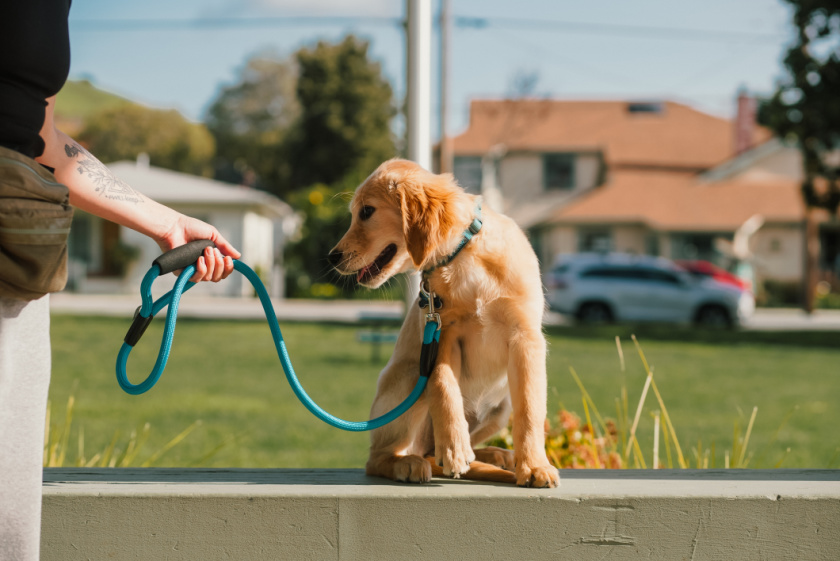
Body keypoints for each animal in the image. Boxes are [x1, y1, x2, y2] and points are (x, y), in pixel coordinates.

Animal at [332, 158, 560, 486]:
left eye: (366, 212)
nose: (332, 257)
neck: (463, 257)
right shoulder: (444, 334)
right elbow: (442, 385)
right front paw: (453, 448)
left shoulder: (525, 337)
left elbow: (530, 409)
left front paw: (534, 465)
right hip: (411, 377)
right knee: (378, 458)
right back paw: (409, 463)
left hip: (500, 408)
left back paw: (496, 455)